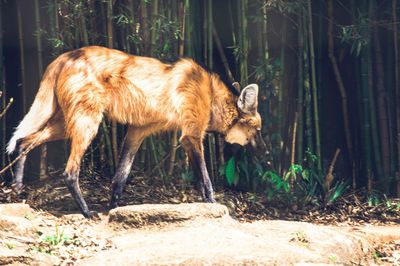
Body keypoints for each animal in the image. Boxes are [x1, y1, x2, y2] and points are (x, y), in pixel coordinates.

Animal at [7, 45, 264, 218]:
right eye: (258, 130)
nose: (265, 152)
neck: (212, 98)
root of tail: (65, 56)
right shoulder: (191, 135)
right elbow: (205, 179)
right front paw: (213, 206)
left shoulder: (138, 132)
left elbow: (120, 176)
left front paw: (114, 208)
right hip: (87, 123)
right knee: (69, 172)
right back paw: (87, 212)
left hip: (65, 124)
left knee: (24, 140)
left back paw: (17, 186)